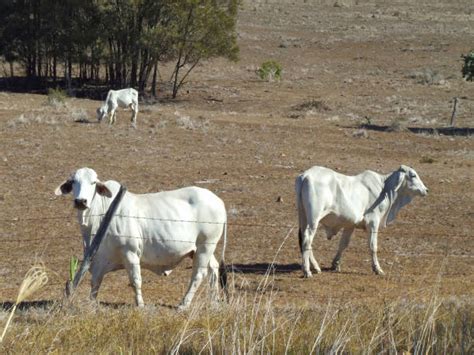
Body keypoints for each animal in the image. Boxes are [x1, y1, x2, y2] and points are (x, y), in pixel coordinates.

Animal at [55, 168, 226, 310]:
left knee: (199, 274)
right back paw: (214, 302)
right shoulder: (98, 260)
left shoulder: (130, 253)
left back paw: (184, 304)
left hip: (205, 245)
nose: (81, 201)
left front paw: (140, 304)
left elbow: (136, 280)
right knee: (214, 268)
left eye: (93, 183)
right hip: (200, 249)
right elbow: (95, 282)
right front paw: (91, 303)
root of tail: (219, 202)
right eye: (73, 182)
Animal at [294, 165, 428, 280]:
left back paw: (315, 267)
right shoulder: (373, 222)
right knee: (307, 240)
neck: (384, 187)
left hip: (303, 217)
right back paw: (307, 271)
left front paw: (335, 264)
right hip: (314, 219)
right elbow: (373, 246)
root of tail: (305, 175)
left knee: (304, 240)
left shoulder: (350, 225)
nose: (426, 190)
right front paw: (377, 269)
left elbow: (343, 244)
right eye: (413, 175)